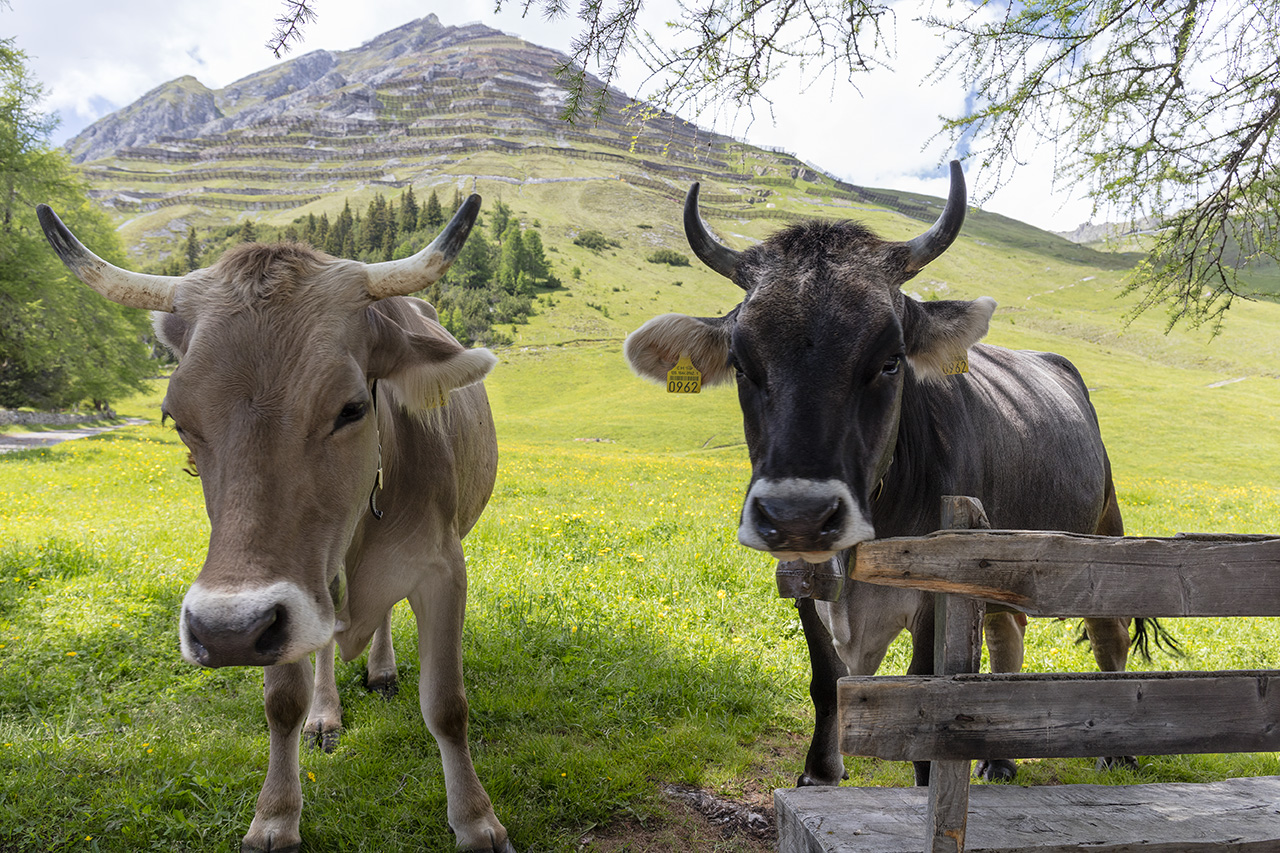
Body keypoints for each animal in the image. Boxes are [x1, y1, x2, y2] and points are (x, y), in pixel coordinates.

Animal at [37, 197, 514, 850]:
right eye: (176, 418)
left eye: (351, 408)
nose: (226, 632)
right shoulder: (289, 600)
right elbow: (283, 702)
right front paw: (275, 815)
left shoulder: (444, 570)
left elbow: (446, 704)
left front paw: (476, 820)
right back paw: (326, 713)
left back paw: (382, 670)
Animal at [627, 162, 1141, 788]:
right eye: (743, 366)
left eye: (890, 360)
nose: (798, 516)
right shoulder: (802, 581)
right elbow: (827, 681)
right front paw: (820, 772)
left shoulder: (941, 592)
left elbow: (925, 688)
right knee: (1007, 633)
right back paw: (997, 760)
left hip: (1104, 529)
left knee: (1109, 632)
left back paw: (1117, 751)